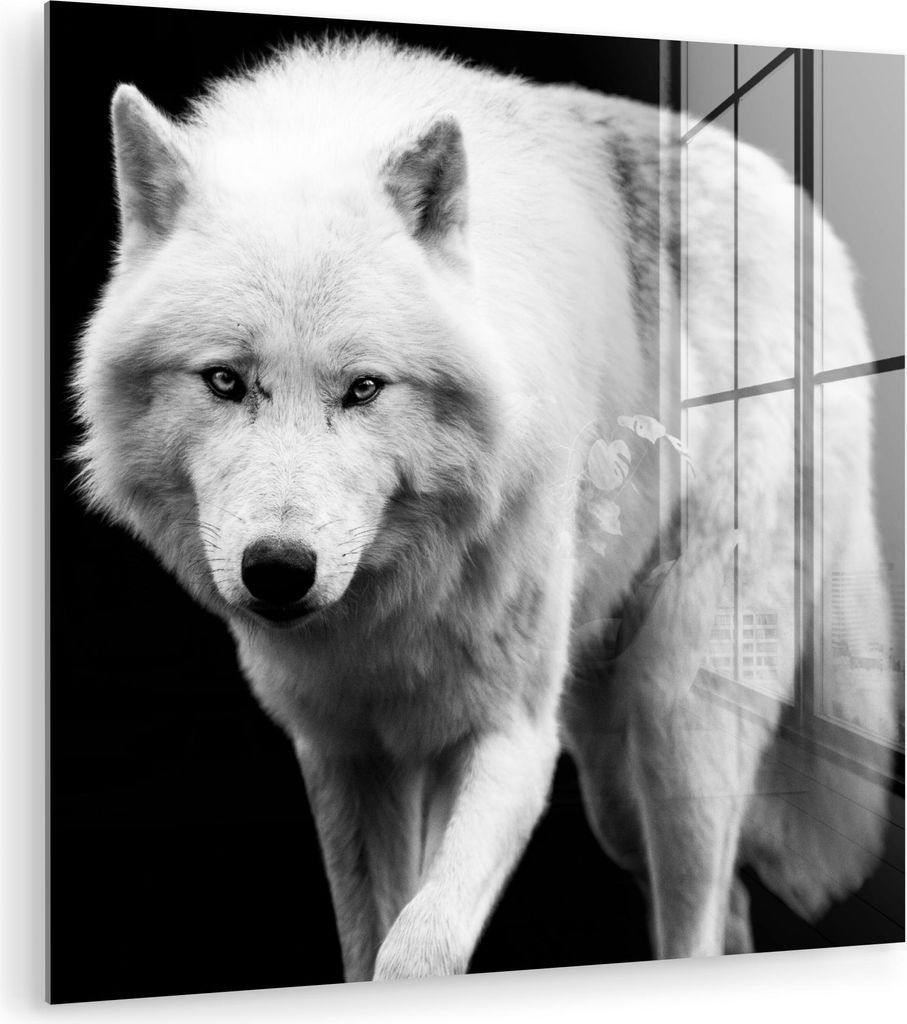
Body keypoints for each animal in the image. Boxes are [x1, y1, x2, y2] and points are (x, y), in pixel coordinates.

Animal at [73, 38, 896, 980]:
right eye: (224, 381)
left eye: (364, 388)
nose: (279, 572)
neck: (391, 605)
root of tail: (801, 210)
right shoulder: (347, 754)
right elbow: (369, 939)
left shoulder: (509, 739)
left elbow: (415, 948)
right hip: (611, 789)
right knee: (723, 904)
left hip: (675, 721)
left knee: (696, 909)